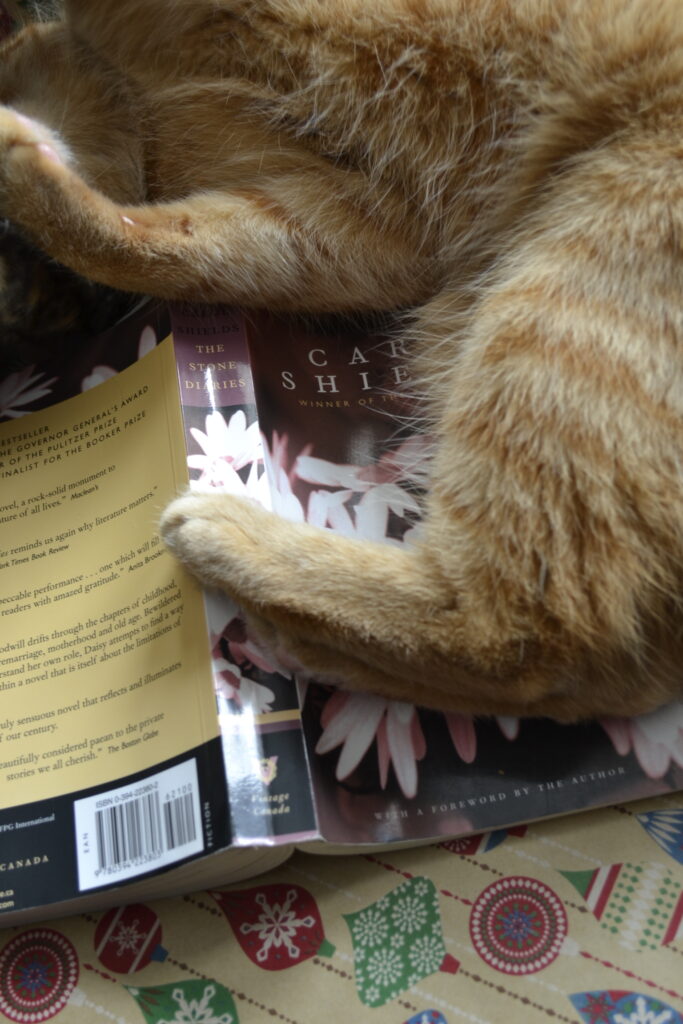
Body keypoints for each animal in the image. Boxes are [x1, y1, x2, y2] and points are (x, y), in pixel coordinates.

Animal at [2, 0, 679, 720]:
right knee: (595, 668)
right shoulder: (354, 225)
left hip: (564, 305)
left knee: (529, 632)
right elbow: (169, 243)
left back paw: (236, 545)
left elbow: (138, 238)